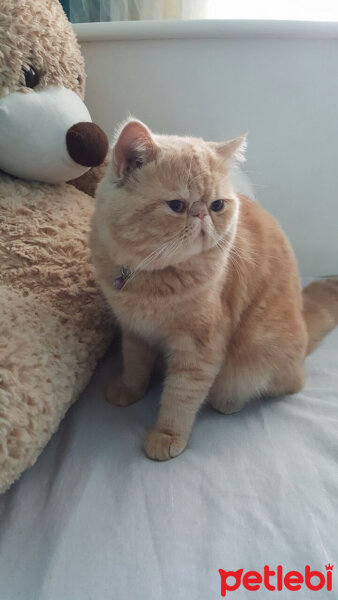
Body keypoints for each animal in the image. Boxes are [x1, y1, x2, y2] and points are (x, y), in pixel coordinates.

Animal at [90, 119, 338, 462]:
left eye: (217, 205)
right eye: (177, 205)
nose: (202, 213)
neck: (149, 277)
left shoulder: (200, 348)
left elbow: (180, 397)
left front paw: (167, 436)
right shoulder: (135, 331)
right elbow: (135, 364)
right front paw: (130, 389)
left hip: (255, 360)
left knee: (282, 385)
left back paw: (229, 402)